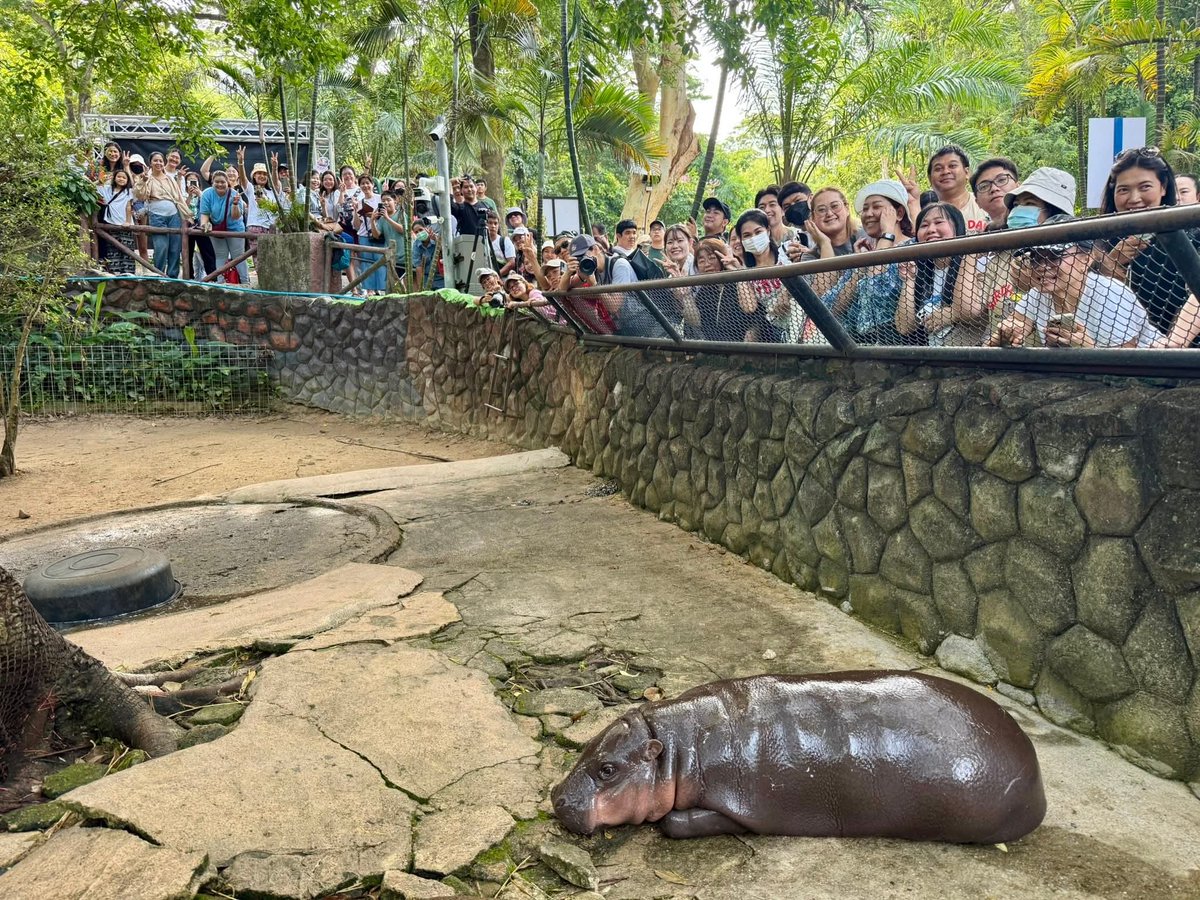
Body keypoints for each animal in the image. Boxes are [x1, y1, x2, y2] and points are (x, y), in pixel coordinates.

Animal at [551, 671, 1045, 842]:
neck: (674, 746)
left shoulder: (741, 806)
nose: (557, 797)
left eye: (608, 769)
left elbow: (677, 822)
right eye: (586, 746)